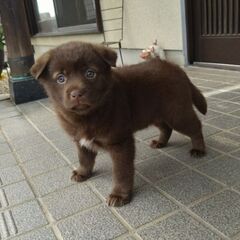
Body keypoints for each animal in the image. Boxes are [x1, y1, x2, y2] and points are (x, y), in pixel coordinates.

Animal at [30, 41, 206, 206]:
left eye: (90, 73)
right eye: (61, 78)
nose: (77, 93)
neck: (87, 116)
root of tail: (178, 69)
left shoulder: (119, 142)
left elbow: (121, 171)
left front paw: (119, 195)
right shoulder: (80, 140)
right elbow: (84, 158)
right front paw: (82, 173)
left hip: (177, 113)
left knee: (195, 126)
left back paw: (199, 149)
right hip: (155, 113)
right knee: (166, 127)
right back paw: (160, 142)